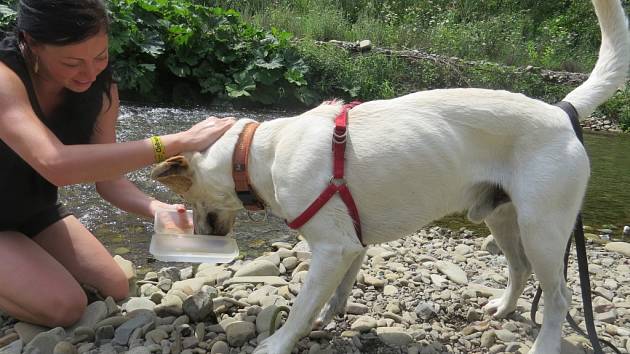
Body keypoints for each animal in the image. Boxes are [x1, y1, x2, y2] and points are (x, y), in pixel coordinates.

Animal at [154, 1, 630, 352]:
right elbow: (338, 291)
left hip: (543, 229)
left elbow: (303, 304)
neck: (259, 152)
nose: (203, 238)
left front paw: (279, 342)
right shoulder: (352, 245)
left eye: (190, 200)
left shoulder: (331, 247)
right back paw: (502, 308)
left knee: (559, 297)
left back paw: (544, 344)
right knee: (520, 268)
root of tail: (561, 112)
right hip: (503, 217)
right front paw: (329, 317)